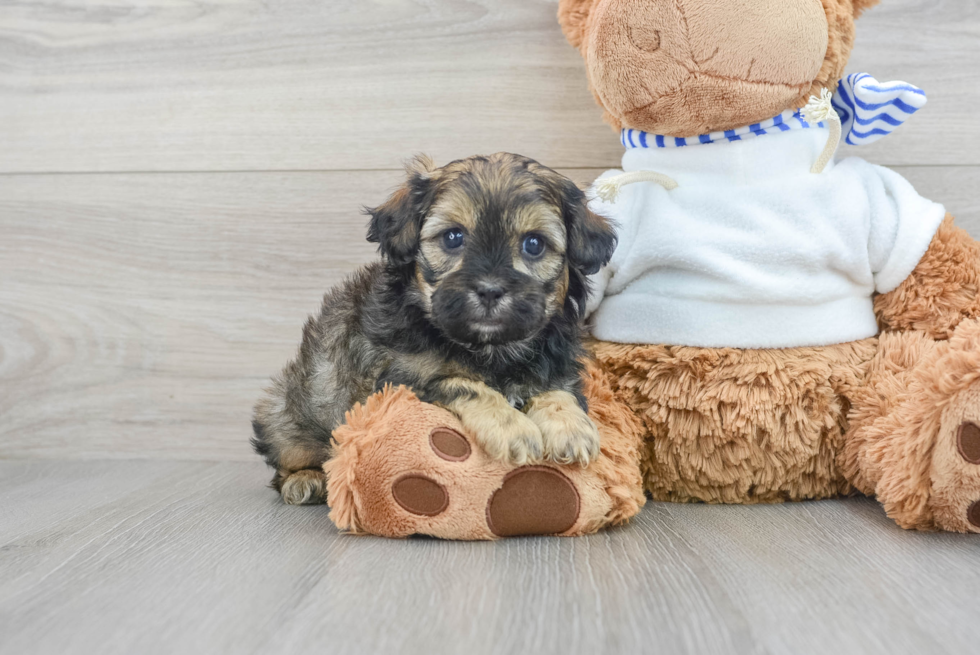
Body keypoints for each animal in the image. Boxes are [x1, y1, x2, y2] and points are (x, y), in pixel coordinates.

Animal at [251, 151, 612, 504]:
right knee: (288, 460)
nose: (490, 289)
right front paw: (512, 427)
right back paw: (304, 480)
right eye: (453, 237)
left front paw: (571, 427)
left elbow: (557, 391)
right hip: (286, 420)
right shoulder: (397, 380)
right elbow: (459, 382)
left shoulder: (558, 367)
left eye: (534, 244)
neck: (491, 348)